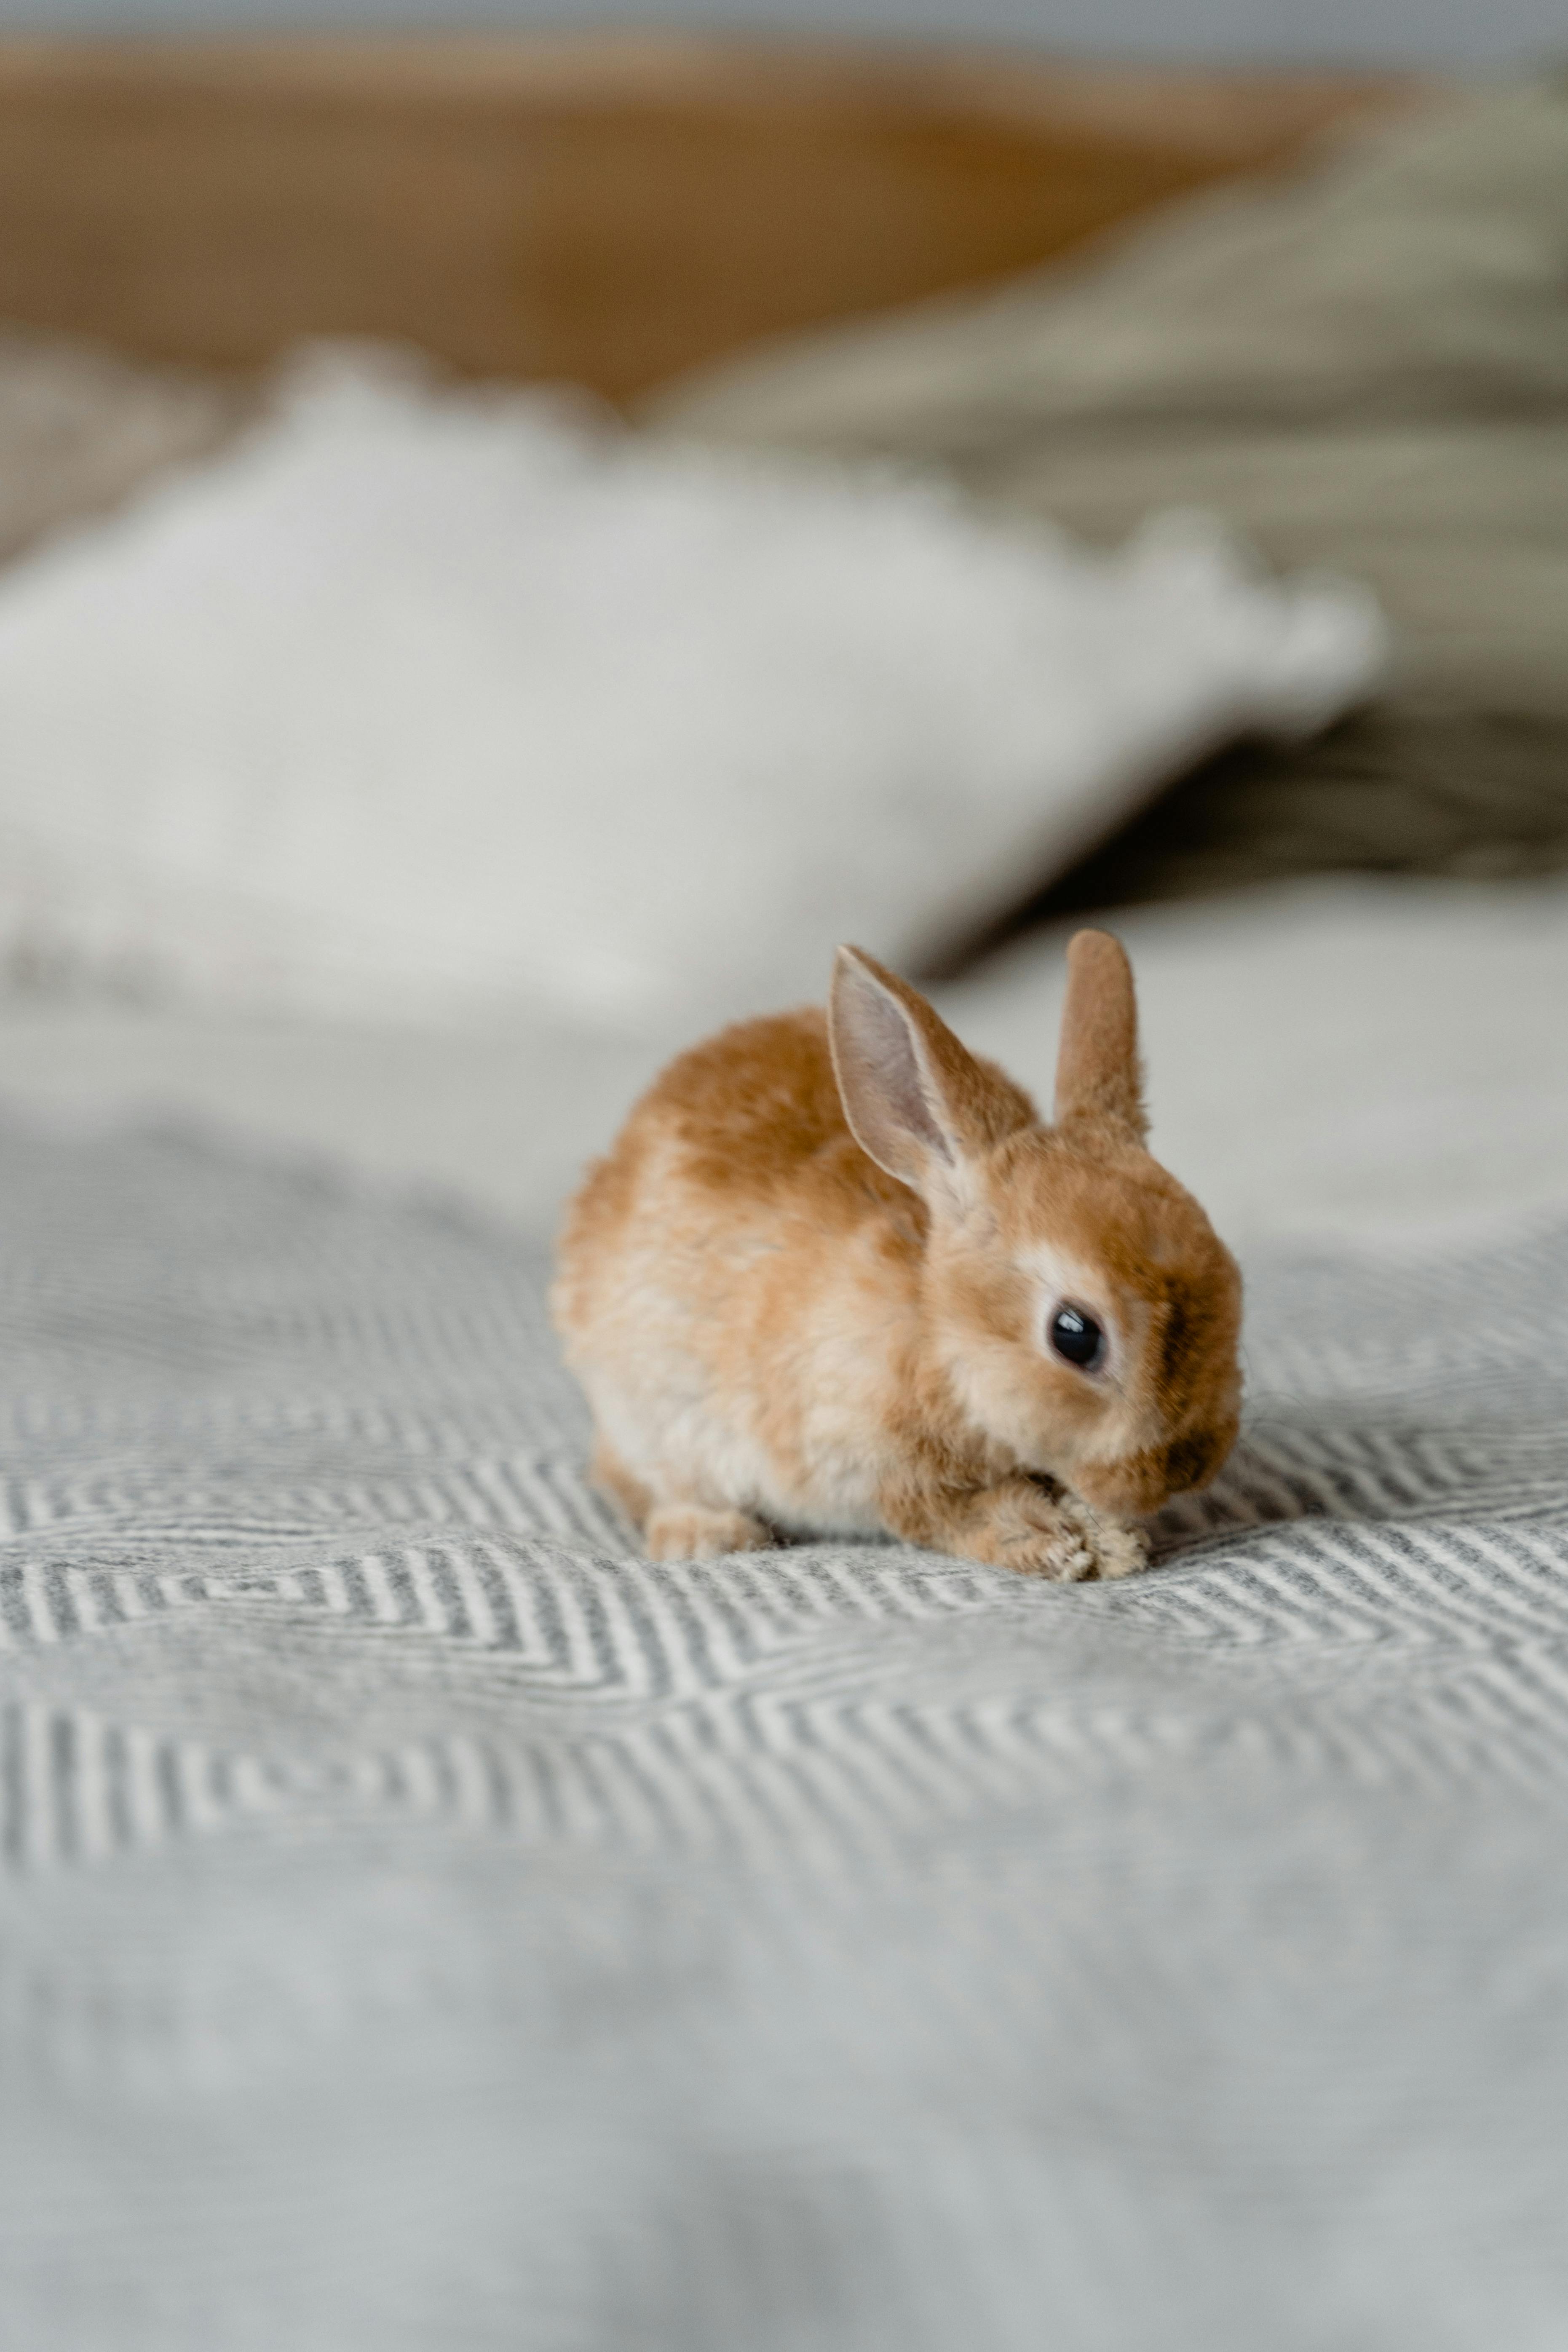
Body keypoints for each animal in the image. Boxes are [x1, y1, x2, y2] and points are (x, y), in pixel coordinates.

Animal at [552, 931, 1241, 1580]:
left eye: (1233, 1280)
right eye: (1074, 1335)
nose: (1181, 1471)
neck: (936, 1331)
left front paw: (1112, 1539)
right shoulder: (879, 1472)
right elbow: (953, 1514)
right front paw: (1064, 1545)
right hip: (646, 1416)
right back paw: (711, 1537)